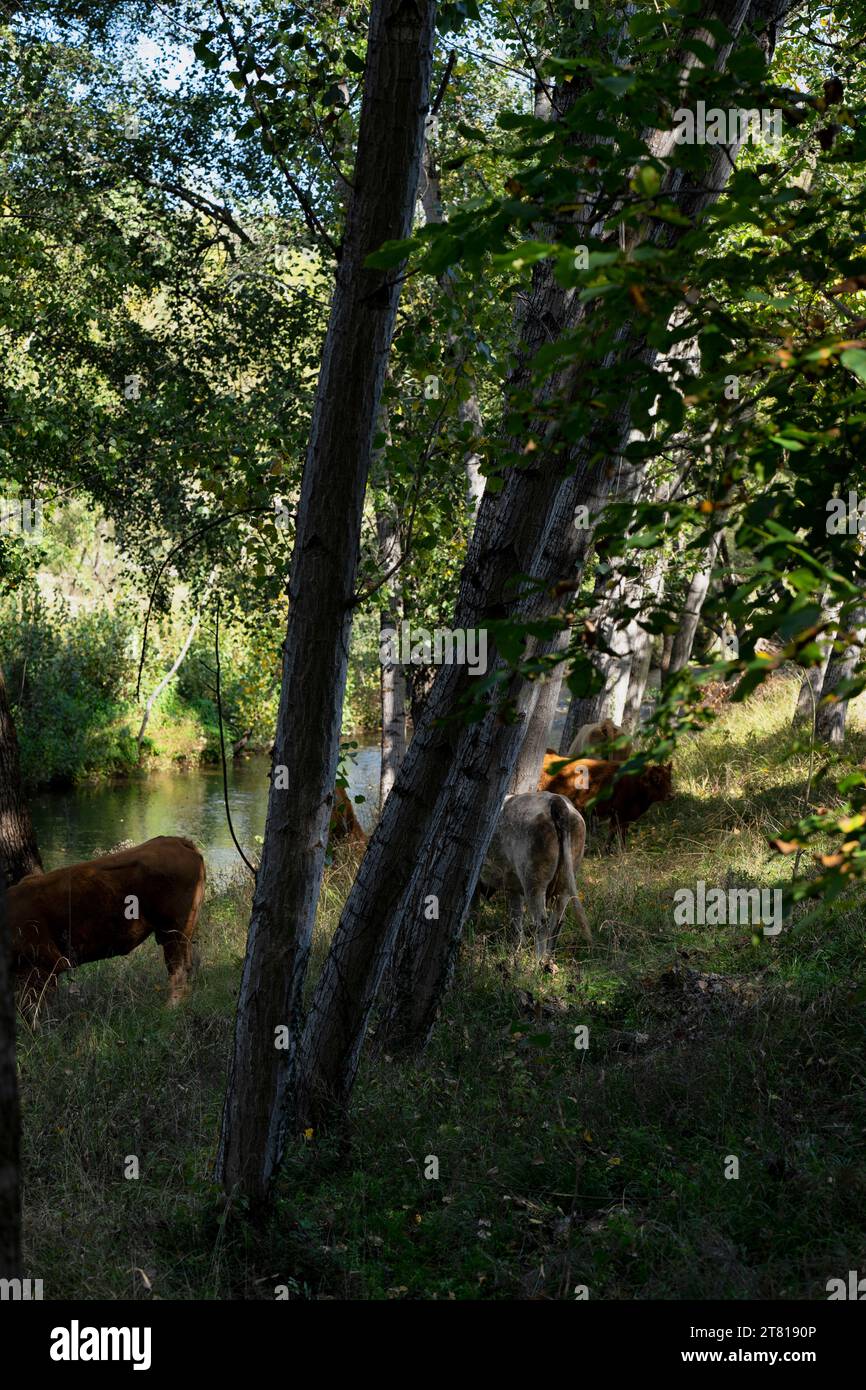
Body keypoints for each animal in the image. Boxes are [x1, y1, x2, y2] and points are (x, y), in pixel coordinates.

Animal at [9, 834, 205, 1011]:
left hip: (173, 933)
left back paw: (169, 1009)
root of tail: (179, 841)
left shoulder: (41, 966)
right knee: (188, 966)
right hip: (182, 932)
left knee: (178, 971)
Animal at [478, 795, 592, 956]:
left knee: (541, 923)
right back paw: (548, 956)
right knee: (557, 921)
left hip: (534, 882)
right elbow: (516, 915)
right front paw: (518, 946)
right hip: (565, 883)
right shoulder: (513, 886)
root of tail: (555, 799)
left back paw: (538, 959)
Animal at [539, 750, 675, 845]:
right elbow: (614, 833)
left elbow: (621, 834)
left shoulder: (626, 816)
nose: (671, 795)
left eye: (670, 778)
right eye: (656, 779)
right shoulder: (618, 813)